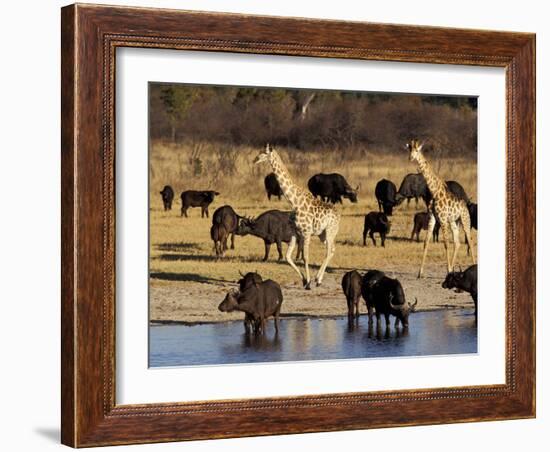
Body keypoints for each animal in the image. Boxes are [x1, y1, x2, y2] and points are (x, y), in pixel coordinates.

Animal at [254, 144, 340, 290]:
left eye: (264, 153)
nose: (255, 160)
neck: (294, 202)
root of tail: (339, 216)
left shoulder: (306, 232)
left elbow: (305, 257)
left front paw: (308, 283)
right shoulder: (295, 232)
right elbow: (288, 257)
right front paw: (305, 280)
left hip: (330, 231)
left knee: (329, 251)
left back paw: (317, 280)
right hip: (322, 234)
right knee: (332, 250)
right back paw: (318, 279)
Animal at [406, 139, 478, 278]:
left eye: (417, 150)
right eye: (409, 149)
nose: (410, 158)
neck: (434, 192)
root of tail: (465, 205)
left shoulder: (443, 218)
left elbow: (446, 244)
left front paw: (448, 270)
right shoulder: (432, 218)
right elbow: (426, 242)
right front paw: (420, 272)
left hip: (465, 220)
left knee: (470, 240)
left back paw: (472, 266)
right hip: (454, 221)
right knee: (457, 242)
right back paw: (454, 267)